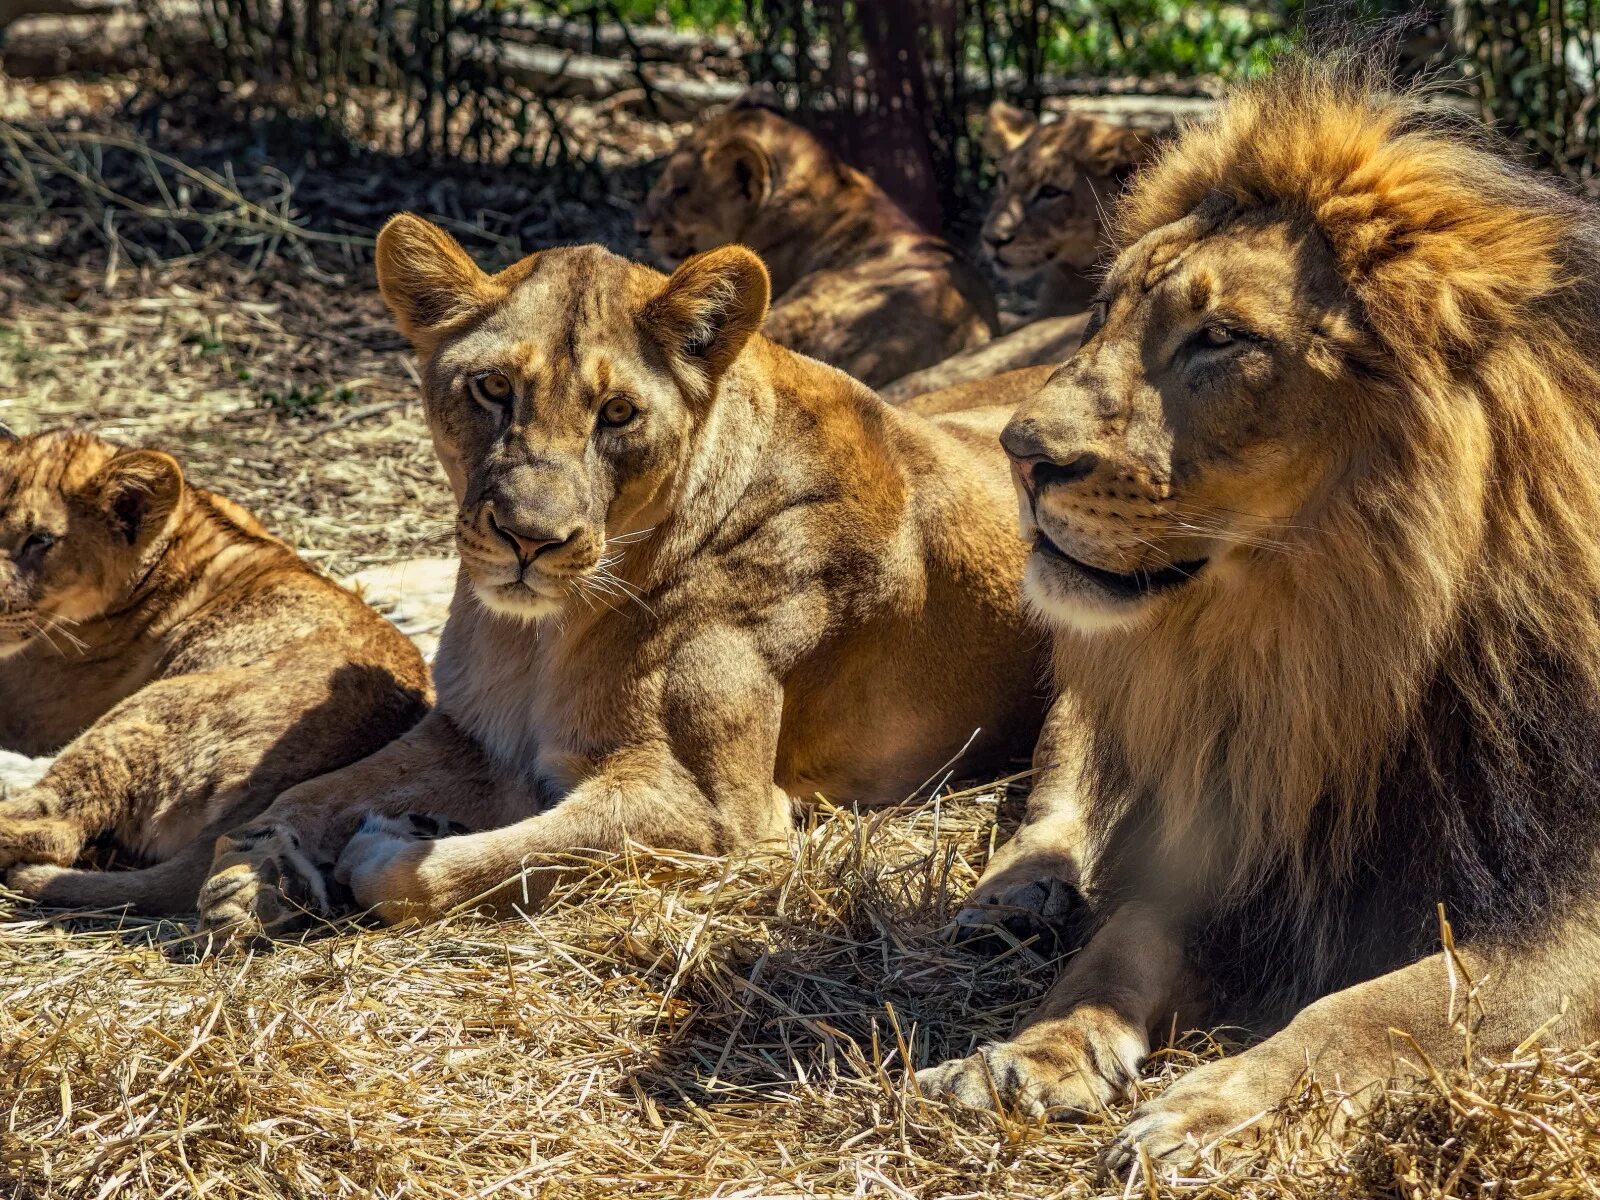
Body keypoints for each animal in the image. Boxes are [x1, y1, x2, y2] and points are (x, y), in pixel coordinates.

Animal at [196, 219, 1049, 940]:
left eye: (616, 413)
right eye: (493, 388)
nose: (528, 539)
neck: (539, 636)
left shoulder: (720, 812)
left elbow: (480, 865)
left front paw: (392, 843)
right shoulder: (471, 734)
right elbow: (312, 789)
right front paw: (255, 869)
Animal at [915, 61, 1600, 1171]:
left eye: (1221, 339)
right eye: (1101, 311)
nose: (1019, 455)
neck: (1329, 644)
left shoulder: (1560, 896)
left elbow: (1387, 1004)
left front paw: (1213, 1109)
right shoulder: (1236, 832)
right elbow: (1120, 944)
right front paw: (1028, 1052)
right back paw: (1014, 899)